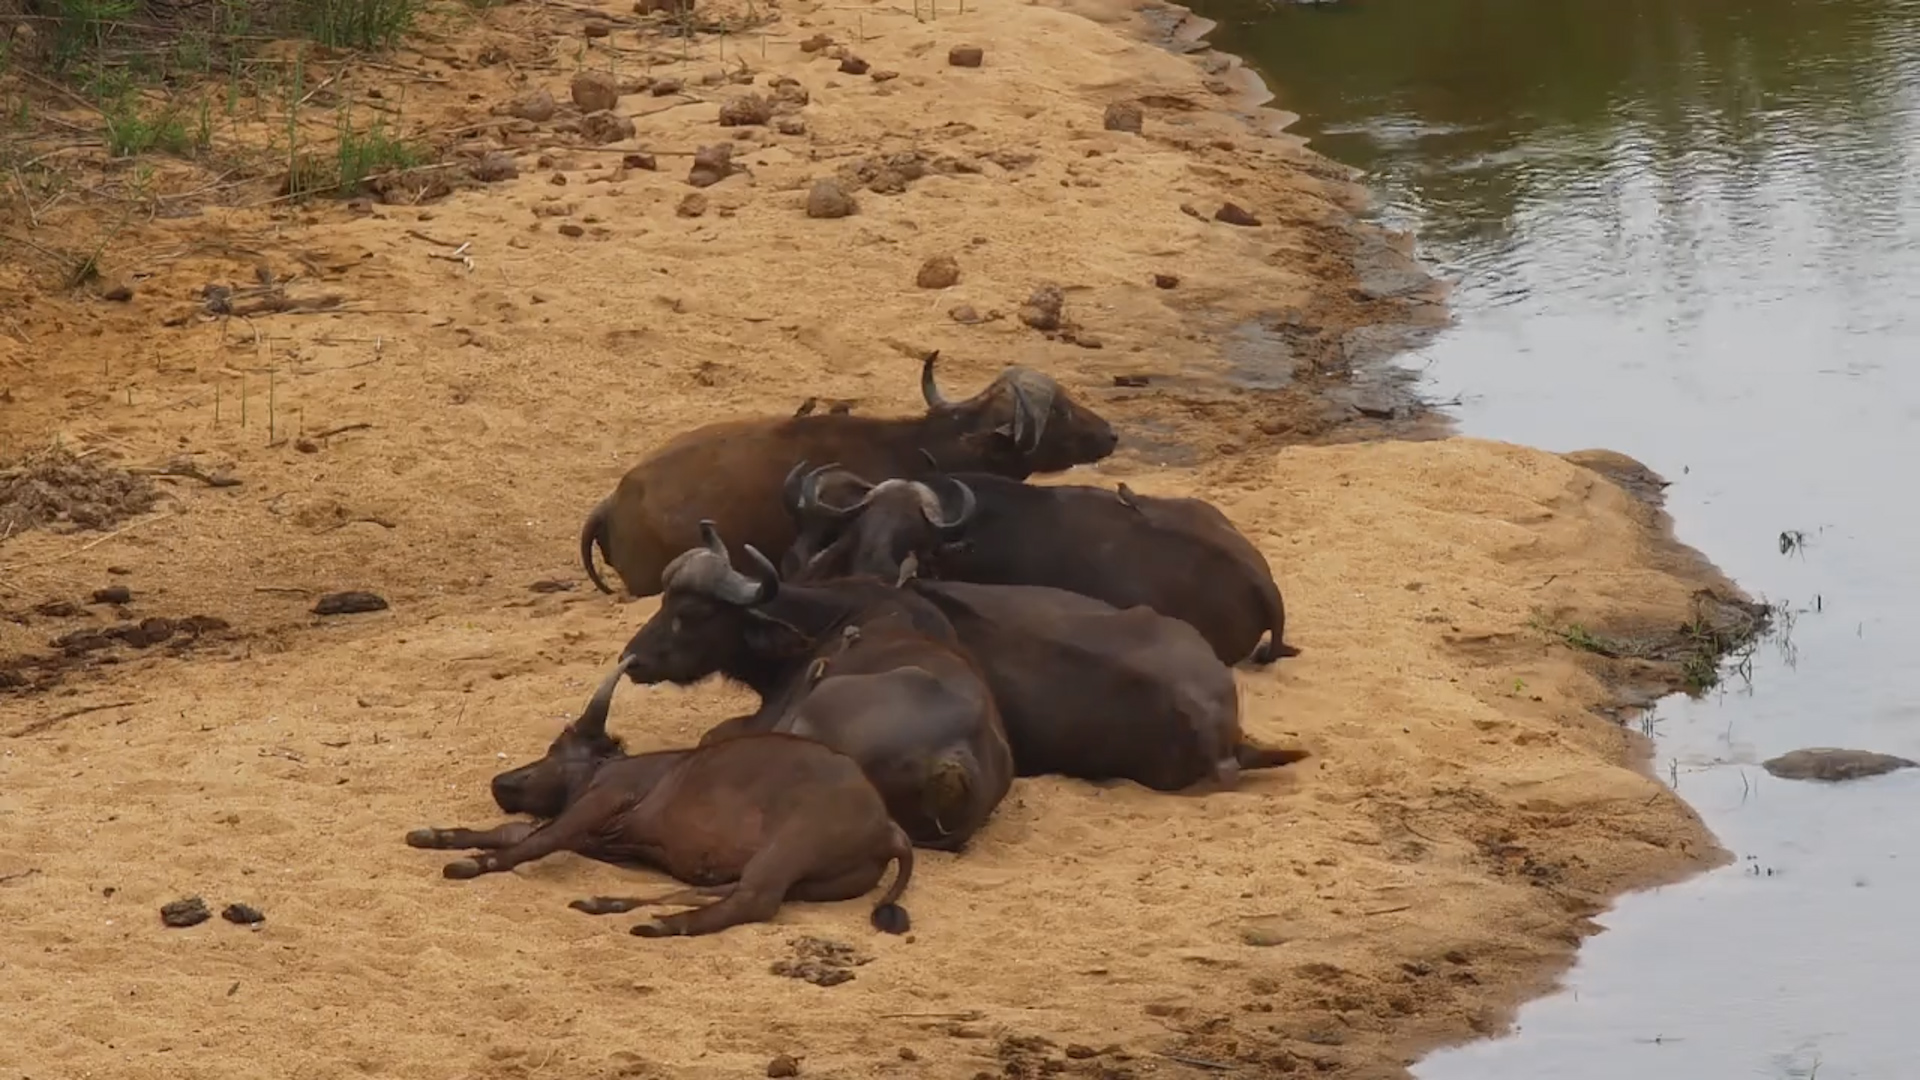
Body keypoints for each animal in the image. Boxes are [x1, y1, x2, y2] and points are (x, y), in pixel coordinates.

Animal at [406, 658, 915, 938]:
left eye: (554, 749)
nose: (501, 781)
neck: (606, 769)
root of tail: (890, 828)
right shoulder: (588, 831)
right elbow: (512, 831)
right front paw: (436, 834)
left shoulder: (599, 803)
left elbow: (532, 841)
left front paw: (473, 863)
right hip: (804, 879)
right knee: (713, 890)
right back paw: (607, 904)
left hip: (789, 847)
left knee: (753, 902)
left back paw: (661, 926)